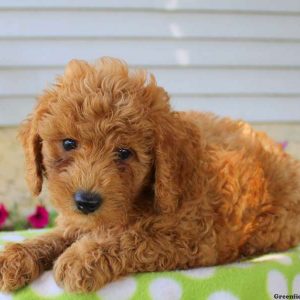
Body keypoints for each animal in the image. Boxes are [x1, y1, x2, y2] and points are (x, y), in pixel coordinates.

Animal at [0, 57, 300, 292]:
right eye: (68, 143)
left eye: (124, 152)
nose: (86, 202)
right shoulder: (78, 222)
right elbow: (52, 237)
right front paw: (14, 257)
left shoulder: (191, 237)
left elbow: (135, 237)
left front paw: (80, 258)